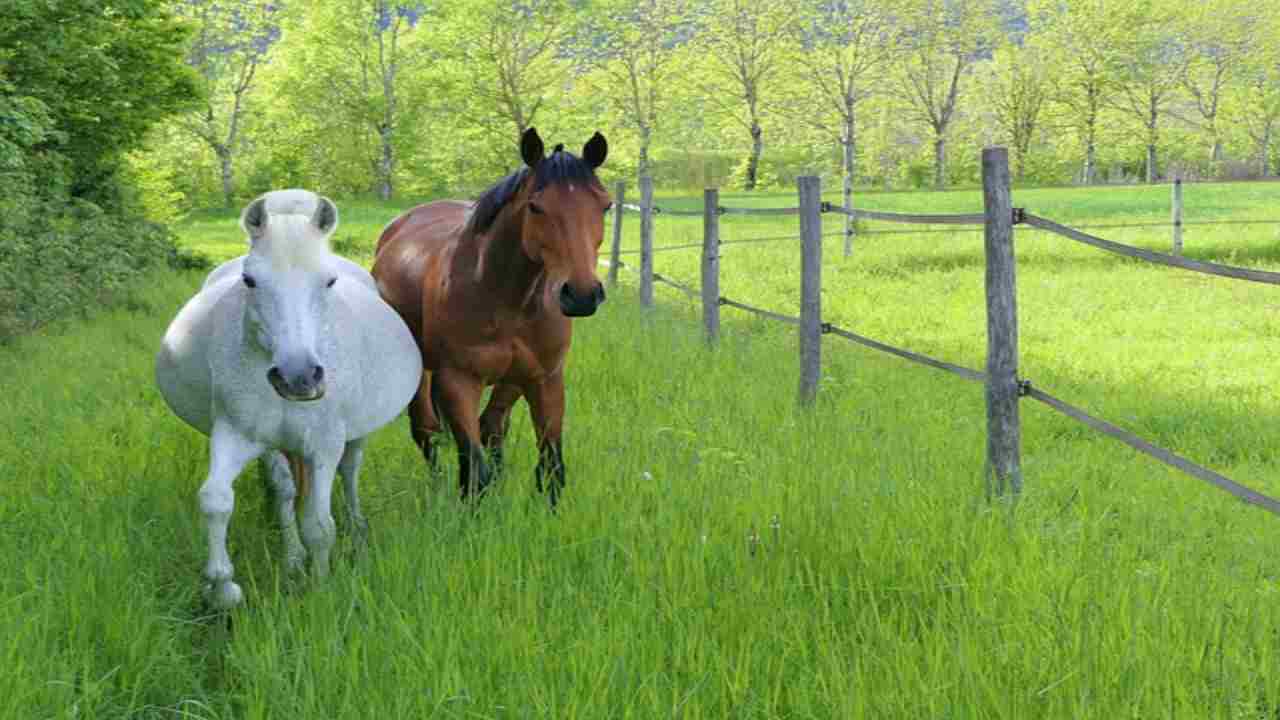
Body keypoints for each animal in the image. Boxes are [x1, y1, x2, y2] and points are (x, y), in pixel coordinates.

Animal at [156, 189, 419, 604]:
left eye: (329, 281)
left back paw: (357, 525)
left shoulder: (325, 446)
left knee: (350, 472)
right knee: (285, 490)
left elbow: (320, 525)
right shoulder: (236, 434)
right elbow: (217, 500)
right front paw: (224, 586)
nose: (299, 378)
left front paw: (322, 584)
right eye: (249, 280)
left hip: (354, 437)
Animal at [371, 127, 609, 504]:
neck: (501, 294)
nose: (582, 294)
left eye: (606, 205)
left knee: (492, 426)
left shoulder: (545, 378)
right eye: (535, 207)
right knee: (426, 430)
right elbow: (474, 471)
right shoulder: (458, 380)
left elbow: (550, 468)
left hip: (511, 379)